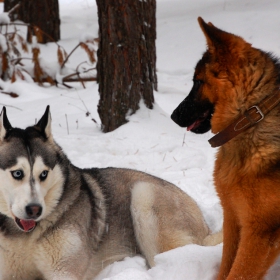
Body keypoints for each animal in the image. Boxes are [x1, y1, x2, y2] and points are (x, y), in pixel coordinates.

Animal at [0, 106, 222, 280]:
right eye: (17, 173)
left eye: (43, 173)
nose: (34, 209)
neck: (24, 235)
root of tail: (205, 227)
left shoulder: (64, 271)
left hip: (143, 195)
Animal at [171, 17, 280, 278]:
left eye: (198, 82)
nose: (173, 116)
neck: (250, 118)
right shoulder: (233, 219)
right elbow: (226, 267)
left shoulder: (259, 233)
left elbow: (239, 272)